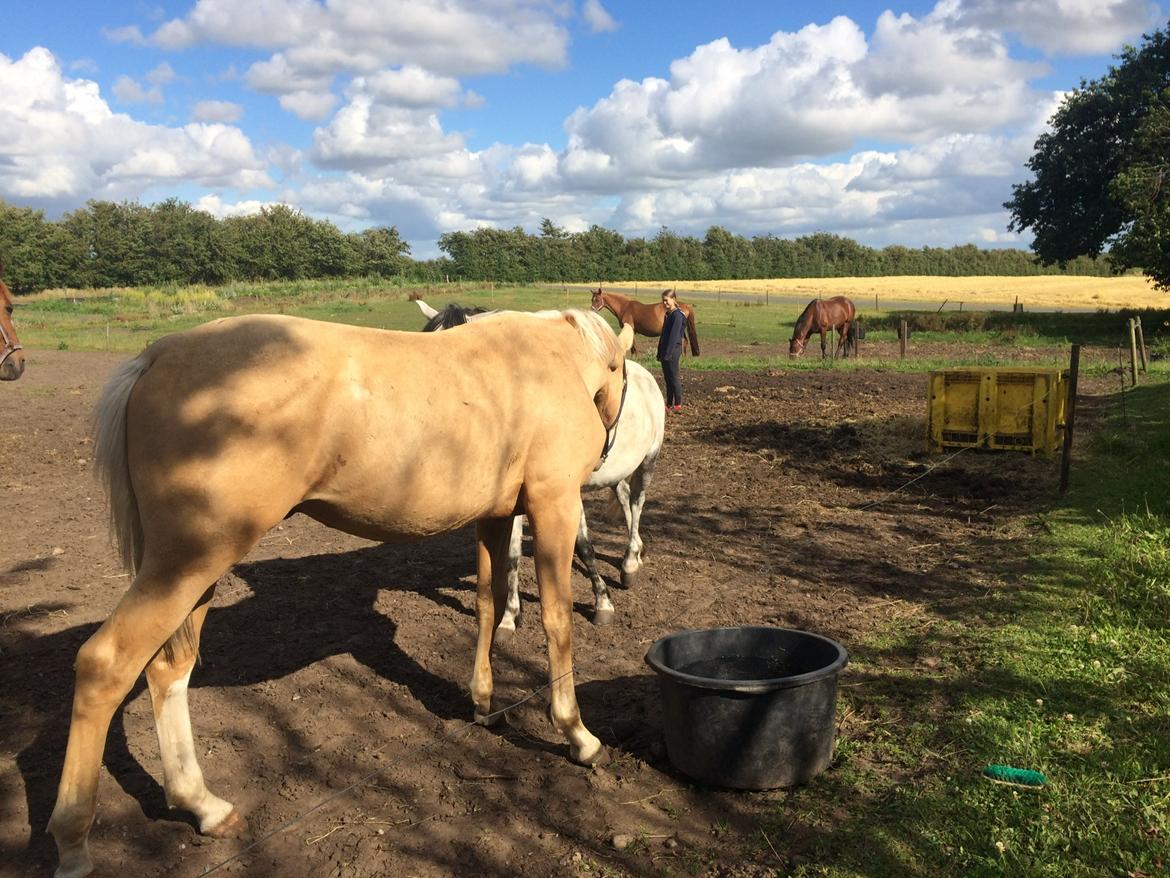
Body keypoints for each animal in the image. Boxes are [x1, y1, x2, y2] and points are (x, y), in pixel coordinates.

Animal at [47, 309, 631, 878]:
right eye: (623, 375)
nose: (607, 451)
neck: (548, 360)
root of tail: (157, 356)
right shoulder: (554, 505)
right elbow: (557, 619)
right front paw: (578, 735)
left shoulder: (492, 516)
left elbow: (487, 606)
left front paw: (484, 704)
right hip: (187, 562)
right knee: (105, 665)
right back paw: (72, 844)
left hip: (194, 570)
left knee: (169, 669)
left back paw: (203, 806)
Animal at [416, 302, 664, 632]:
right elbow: (512, 555)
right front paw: (510, 616)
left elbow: (583, 544)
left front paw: (602, 603)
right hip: (615, 472)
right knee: (624, 498)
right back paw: (637, 550)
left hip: (649, 459)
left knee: (637, 503)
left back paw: (630, 563)